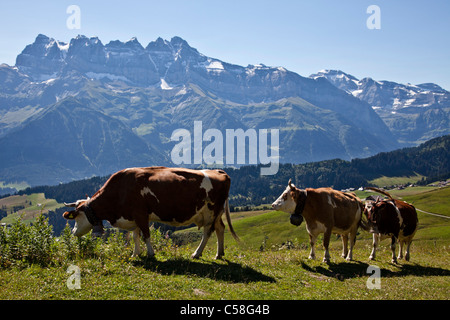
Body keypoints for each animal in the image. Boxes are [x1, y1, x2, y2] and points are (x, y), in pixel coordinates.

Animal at [63, 168, 241, 260]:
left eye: (76, 216)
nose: (73, 232)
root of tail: (219, 171)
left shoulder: (141, 214)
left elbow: (146, 235)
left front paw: (150, 253)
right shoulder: (133, 217)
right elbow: (135, 236)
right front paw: (135, 254)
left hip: (211, 212)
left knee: (207, 232)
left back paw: (197, 253)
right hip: (215, 214)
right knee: (220, 228)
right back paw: (219, 254)